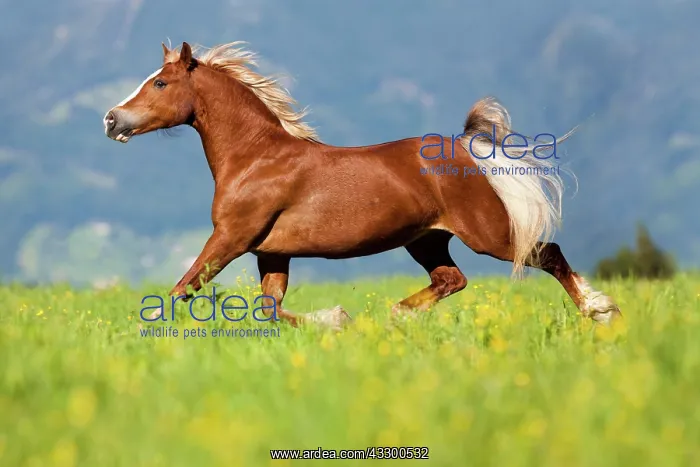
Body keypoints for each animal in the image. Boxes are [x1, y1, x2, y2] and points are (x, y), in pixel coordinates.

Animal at [103, 41, 622, 330]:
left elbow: (181, 290)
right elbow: (269, 308)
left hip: (486, 234)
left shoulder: (231, 238)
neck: (255, 160)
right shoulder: (271, 252)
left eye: (160, 84)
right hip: (426, 239)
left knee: (547, 253)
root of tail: (463, 149)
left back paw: (600, 311)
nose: (111, 120)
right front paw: (338, 320)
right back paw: (397, 316)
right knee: (451, 279)